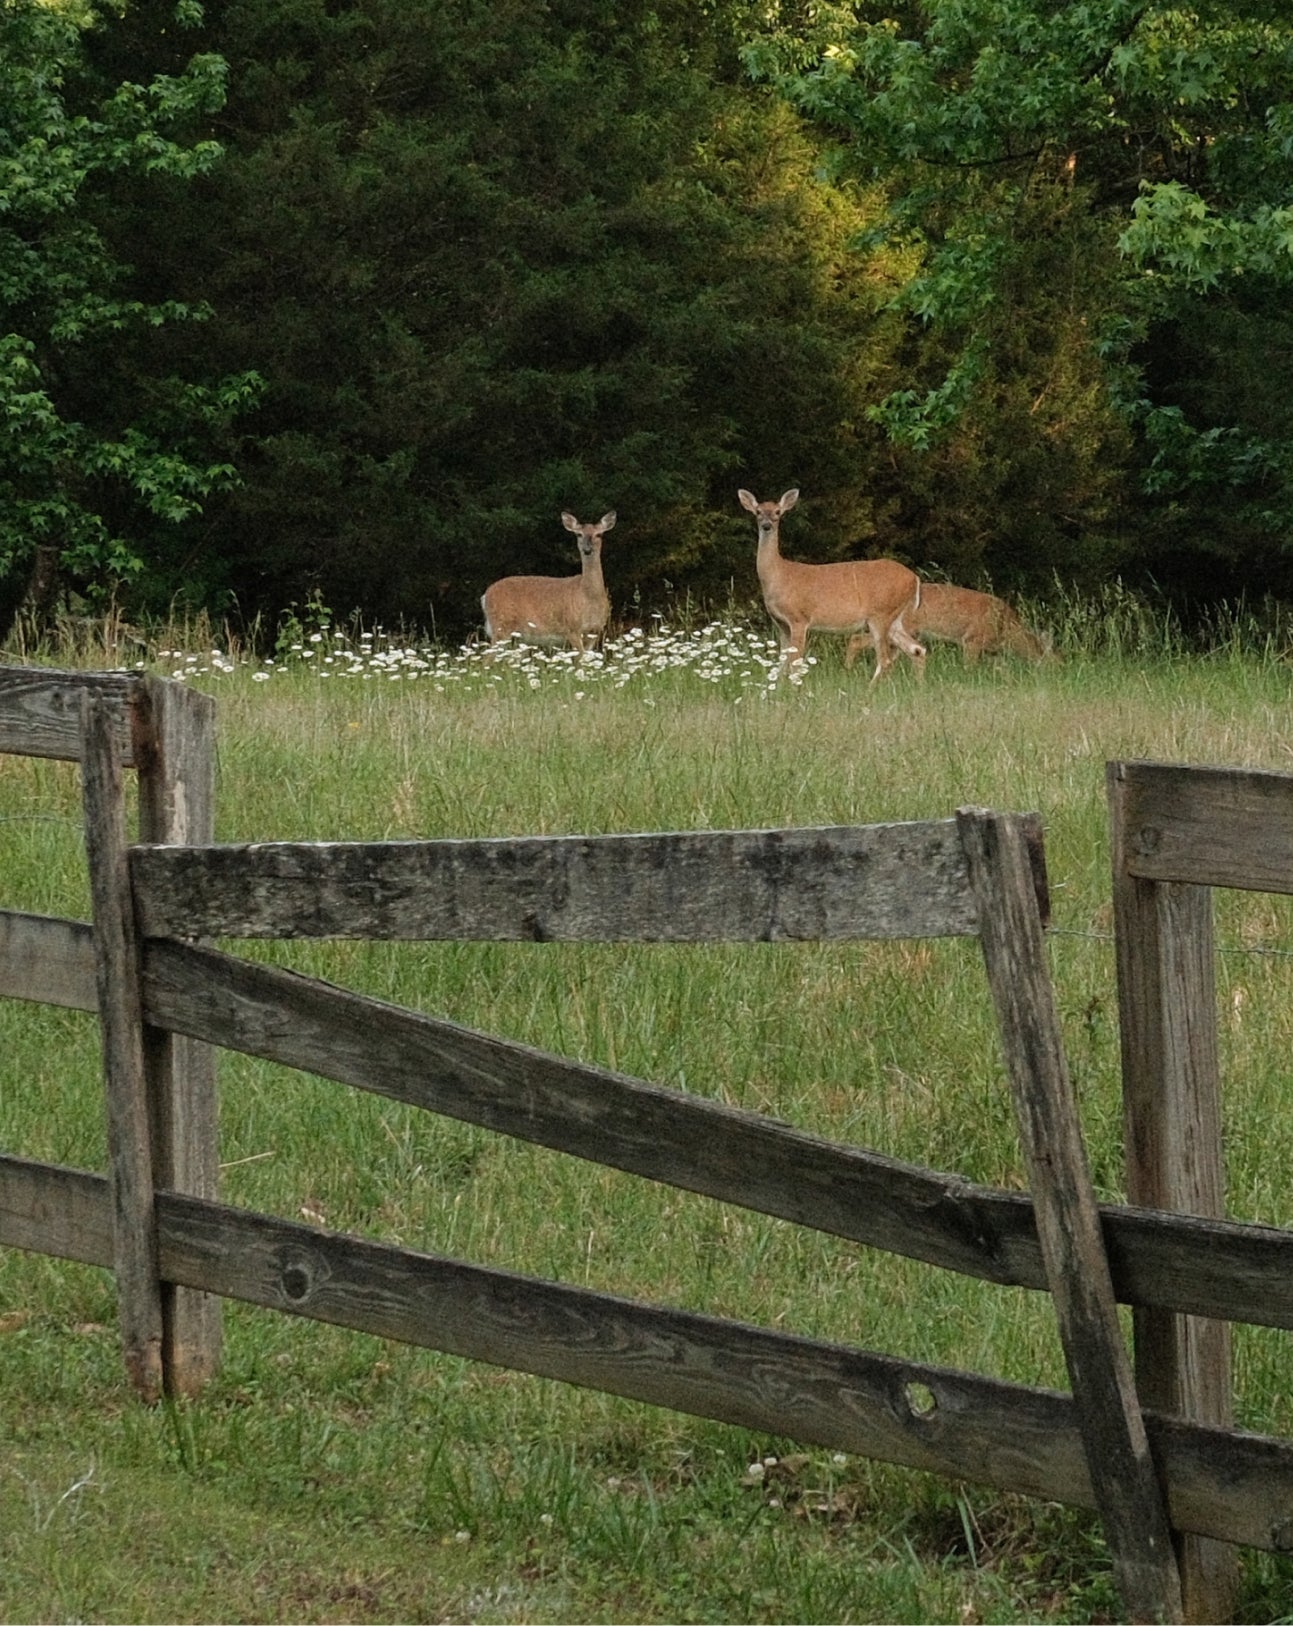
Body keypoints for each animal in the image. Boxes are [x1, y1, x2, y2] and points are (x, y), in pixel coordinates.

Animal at [481, 511, 615, 654]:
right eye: (578, 534)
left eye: (599, 534)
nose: (587, 550)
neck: (588, 596)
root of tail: (485, 596)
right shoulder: (571, 628)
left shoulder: (595, 632)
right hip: (501, 625)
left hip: (517, 636)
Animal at [737, 488, 925, 681]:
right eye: (758, 512)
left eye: (777, 512)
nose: (767, 525)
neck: (779, 575)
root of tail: (914, 577)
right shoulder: (781, 624)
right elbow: (781, 666)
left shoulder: (799, 618)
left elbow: (794, 664)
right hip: (895, 617)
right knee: (917, 649)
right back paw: (918, 683)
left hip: (881, 613)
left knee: (885, 660)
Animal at [846, 582, 1049, 672]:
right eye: (1053, 661)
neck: (1005, 627)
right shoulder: (972, 640)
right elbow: (969, 668)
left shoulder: (993, 653)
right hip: (903, 628)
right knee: (856, 639)